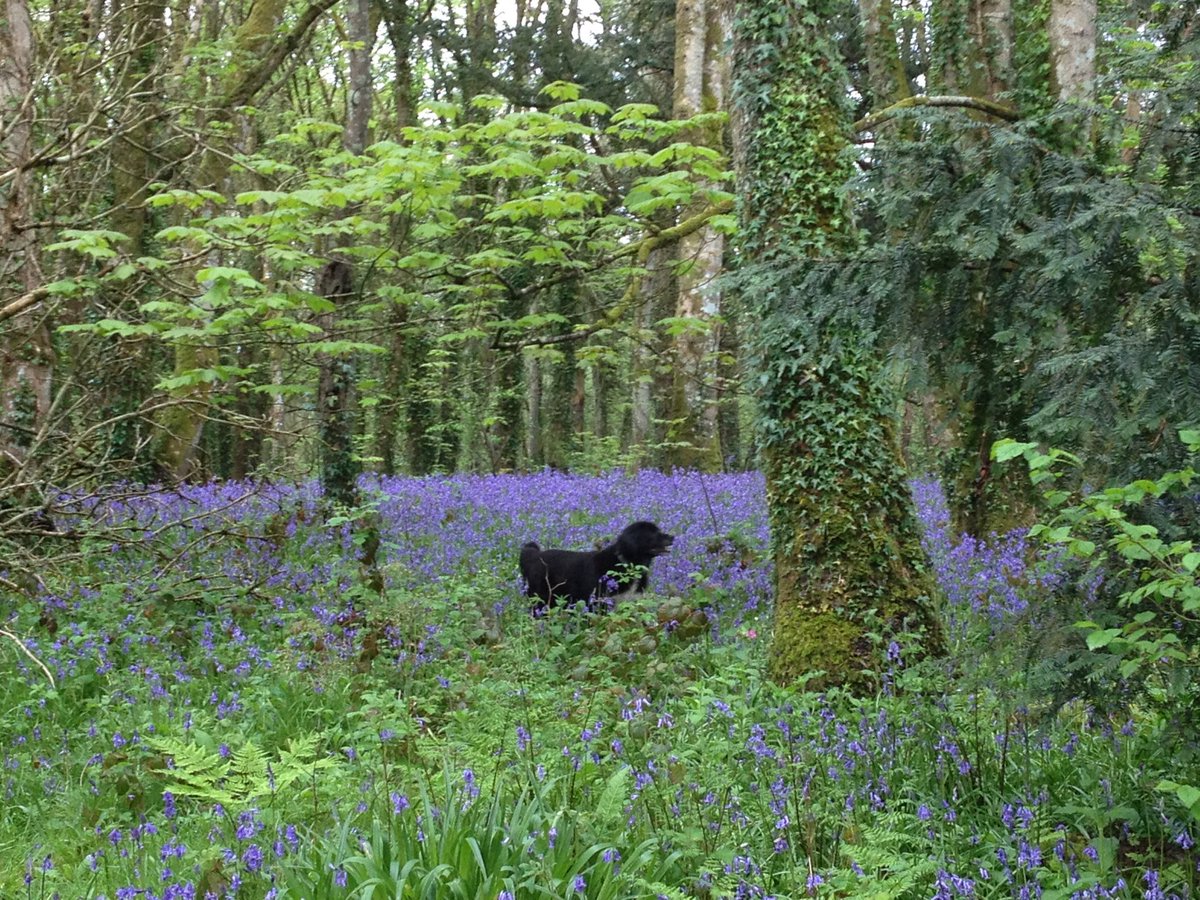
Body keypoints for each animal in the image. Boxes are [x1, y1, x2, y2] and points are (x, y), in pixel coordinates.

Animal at [518, 520, 676, 614]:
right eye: (653, 533)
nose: (672, 537)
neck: (626, 563)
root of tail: (534, 555)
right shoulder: (599, 603)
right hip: (541, 599)